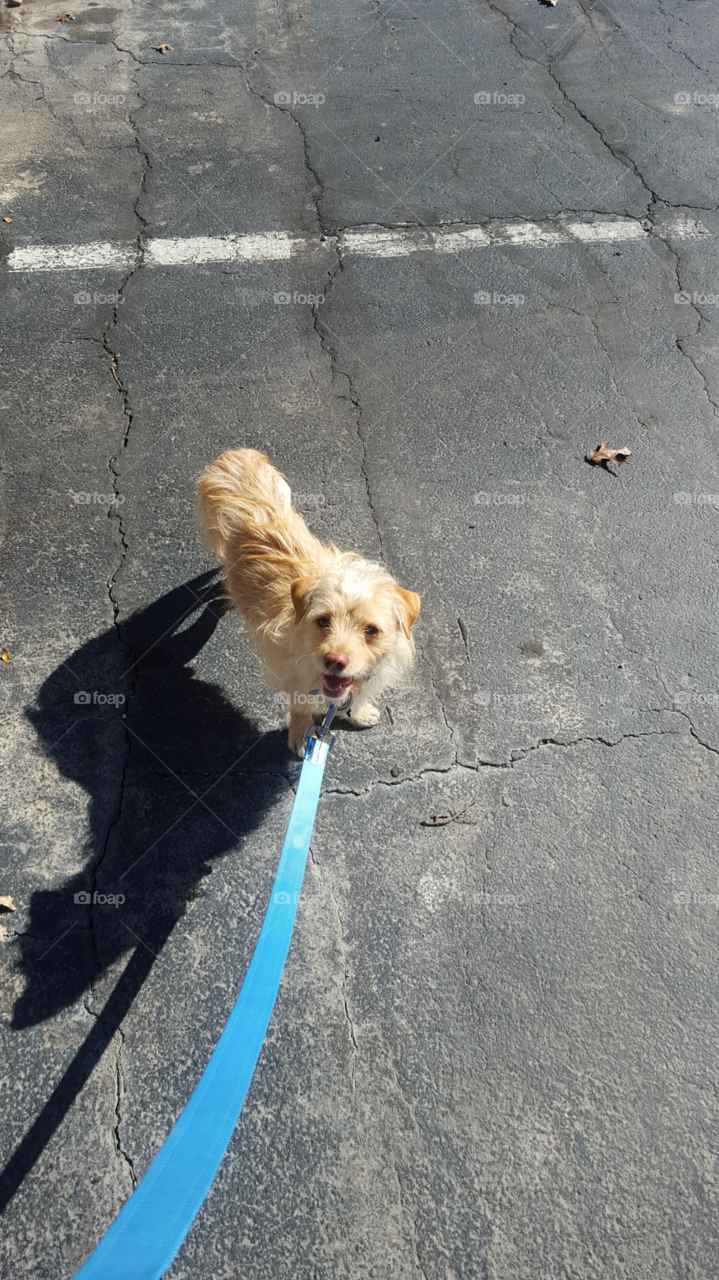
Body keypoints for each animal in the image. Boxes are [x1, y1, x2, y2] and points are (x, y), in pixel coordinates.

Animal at [195, 448, 419, 752]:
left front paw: (357, 713)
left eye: (371, 630)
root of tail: (236, 454)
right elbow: (301, 709)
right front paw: (302, 736)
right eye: (323, 621)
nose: (334, 661)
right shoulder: (294, 678)